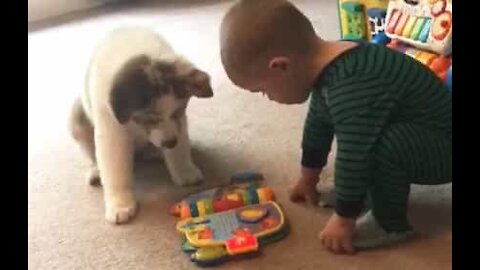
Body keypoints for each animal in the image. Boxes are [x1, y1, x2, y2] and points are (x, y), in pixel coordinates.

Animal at [68, 26, 213, 224]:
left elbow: (180, 148)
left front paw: (184, 171)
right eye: (149, 119)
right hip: (77, 118)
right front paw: (120, 205)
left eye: (176, 112)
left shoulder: (179, 122)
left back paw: (154, 152)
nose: (169, 143)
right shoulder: (111, 128)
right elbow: (115, 169)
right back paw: (96, 170)